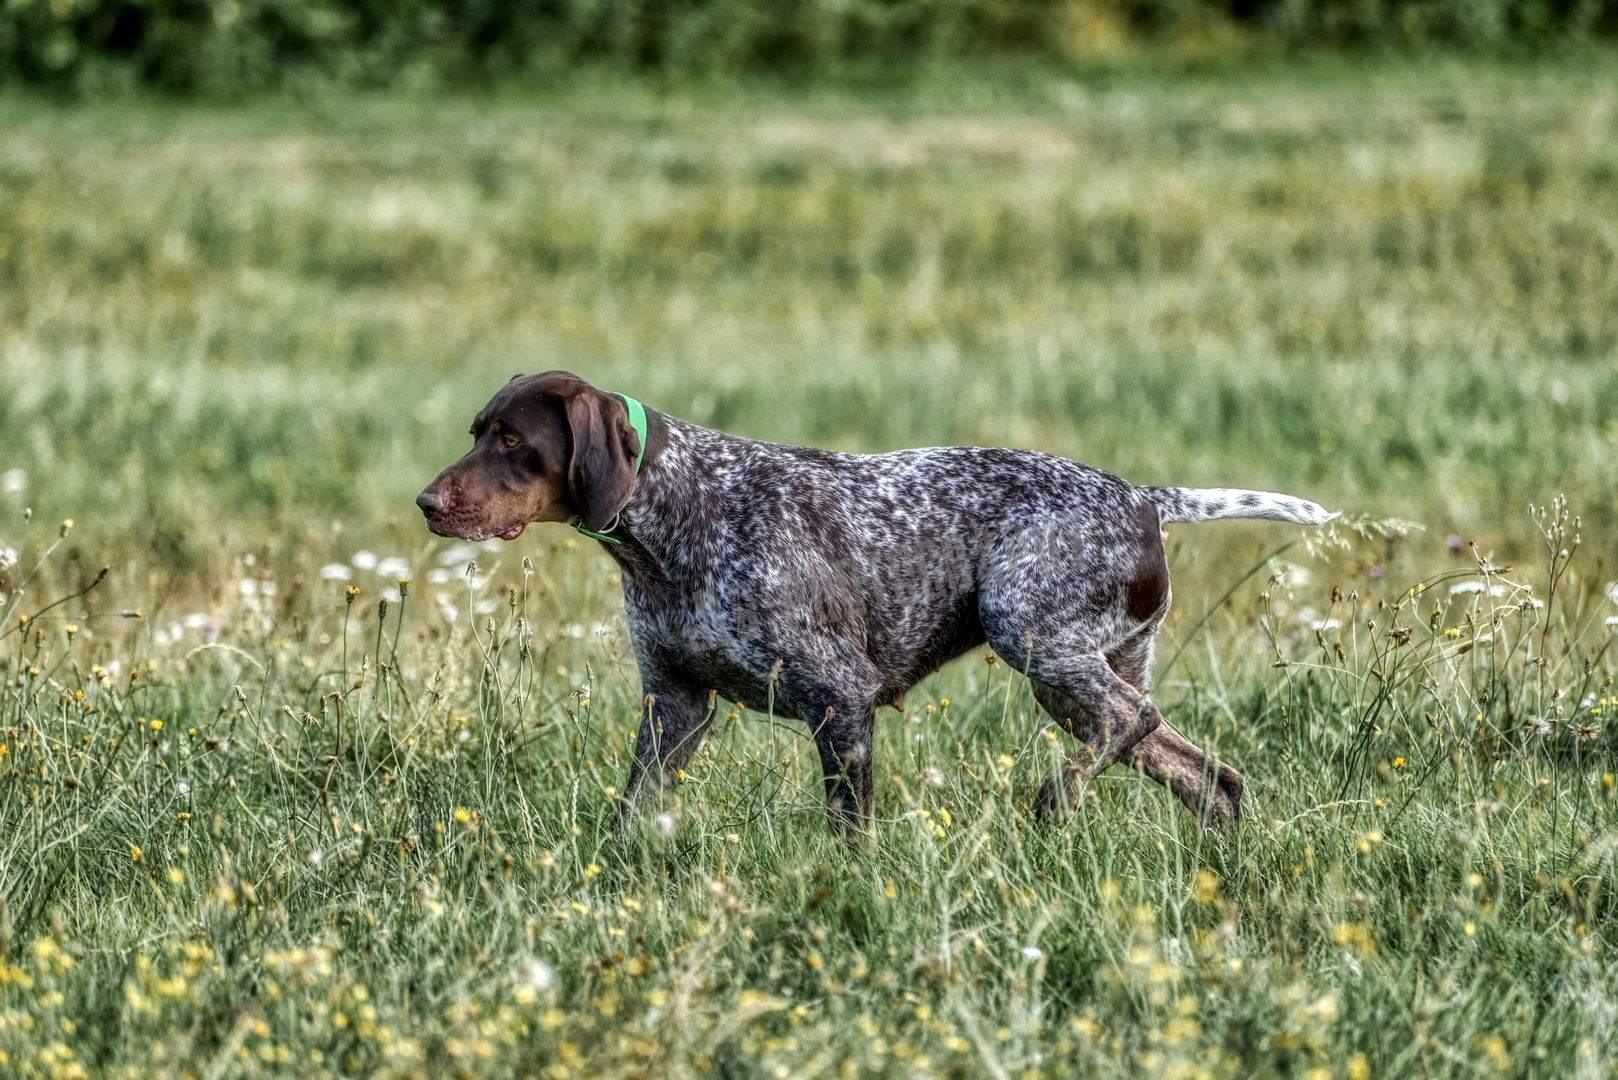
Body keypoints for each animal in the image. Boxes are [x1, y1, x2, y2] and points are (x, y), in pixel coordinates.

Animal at [414, 372, 1326, 835]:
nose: (425, 502)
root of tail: (1144, 498)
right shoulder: (675, 704)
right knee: (1208, 774)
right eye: (476, 431)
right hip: (1085, 671)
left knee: (1128, 722)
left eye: (511, 441)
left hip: (1034, 637)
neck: (680, 513)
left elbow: (847, 829)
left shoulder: (839, 700)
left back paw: (1048, 806)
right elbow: (632, 813)